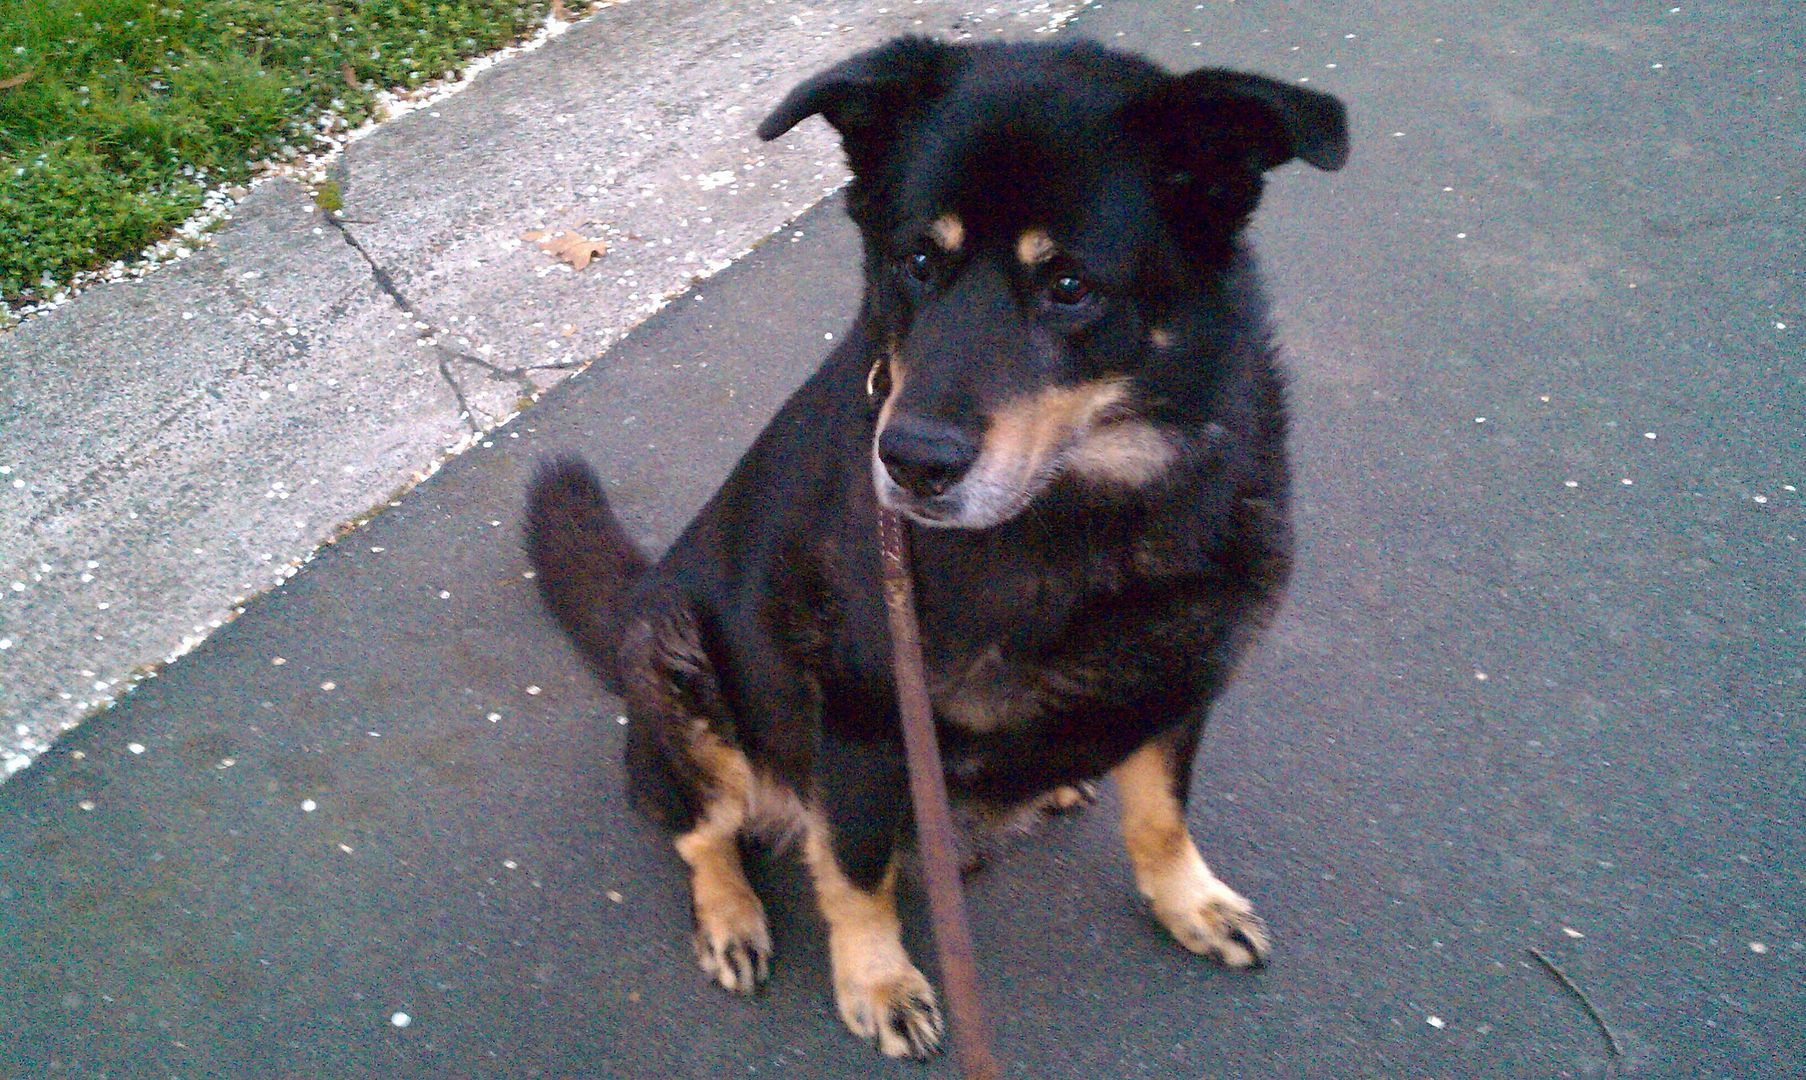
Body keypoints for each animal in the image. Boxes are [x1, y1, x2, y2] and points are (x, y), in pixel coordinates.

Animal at [523, 38, 1343, 1061]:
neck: (1099, 502)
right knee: (699, 832)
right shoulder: (866, 726)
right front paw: (877, 979)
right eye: (916, 260)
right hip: (675, 665)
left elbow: (1161, 814)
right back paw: (732, 915)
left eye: (1068, 286)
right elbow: (855, 869)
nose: (910, 462)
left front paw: (1188, 900)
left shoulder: (1179, 688)